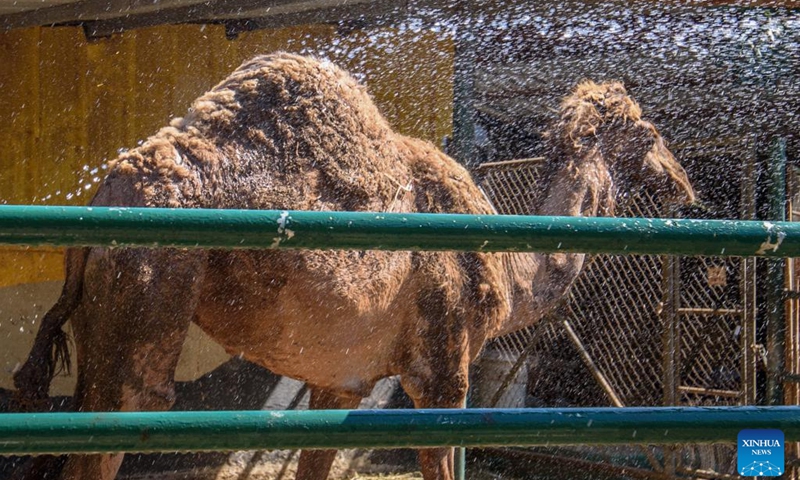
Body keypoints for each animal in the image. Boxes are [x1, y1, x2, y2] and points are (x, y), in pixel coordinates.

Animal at [12, 53, 694, 480]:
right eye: (650, 131)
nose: (684, 185)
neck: (508, 275)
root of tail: (104, 198)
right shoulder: (443, 370)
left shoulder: (338, 381)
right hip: (150, 284)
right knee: (132, 405)